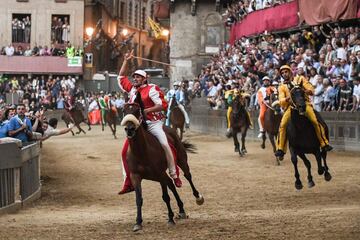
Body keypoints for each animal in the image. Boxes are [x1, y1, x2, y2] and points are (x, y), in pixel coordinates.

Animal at [121, 93, 204, 232]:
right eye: (124, 110)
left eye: (137, 110)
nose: (130, 129)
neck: (142, 151)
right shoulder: (135, 176)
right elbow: (139, 199)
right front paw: (138, 222)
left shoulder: (159, 174)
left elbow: (165, 196)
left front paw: (170, 219)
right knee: (171, 183)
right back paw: (181, 210)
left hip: (181, 160)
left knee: (187, 176)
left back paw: (198, 198)